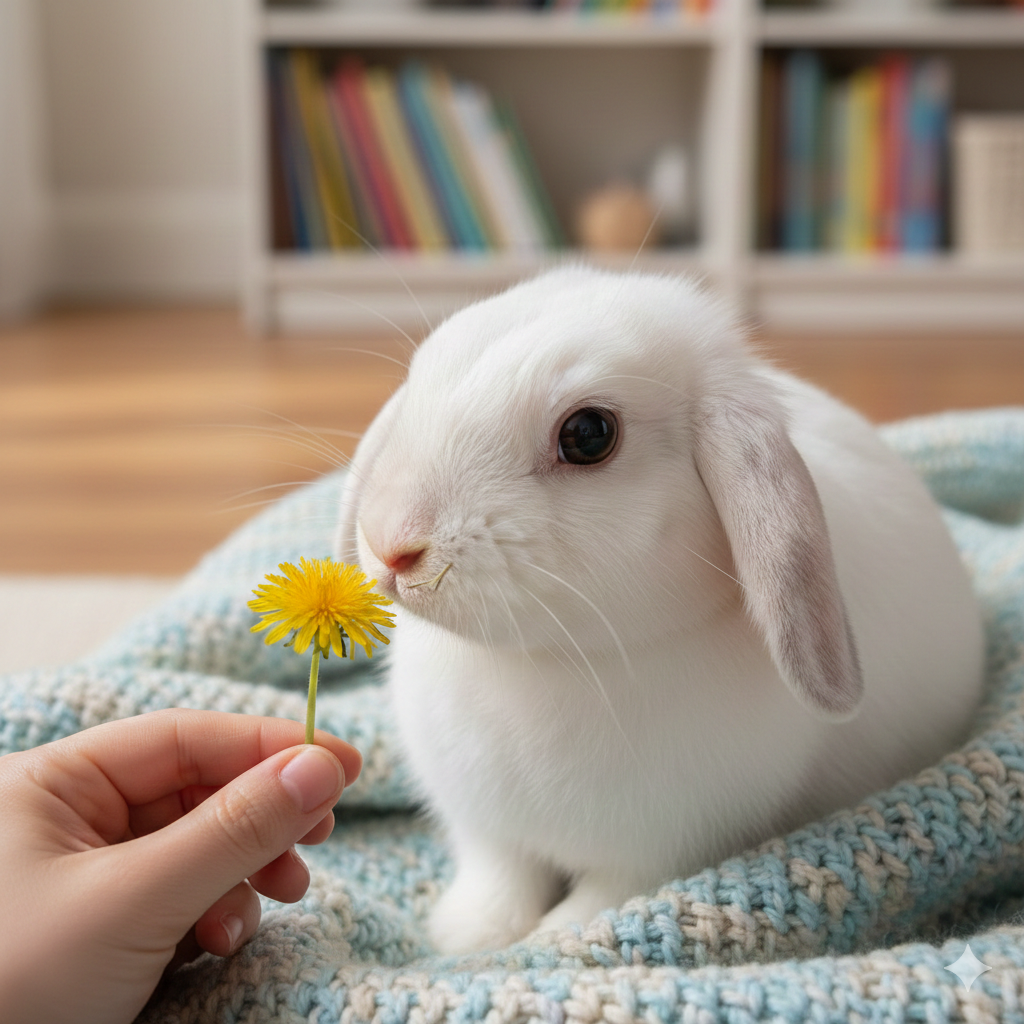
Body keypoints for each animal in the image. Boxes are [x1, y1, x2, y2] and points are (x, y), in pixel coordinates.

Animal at [335, 266, 985, 955]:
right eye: (422, 376)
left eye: (588, 434)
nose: (391, 543)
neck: (549, 662)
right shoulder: (488, 833)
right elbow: (499, 882)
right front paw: (467, 937)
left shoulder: (654, 854)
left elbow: (598, 901)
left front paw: (550, 942)